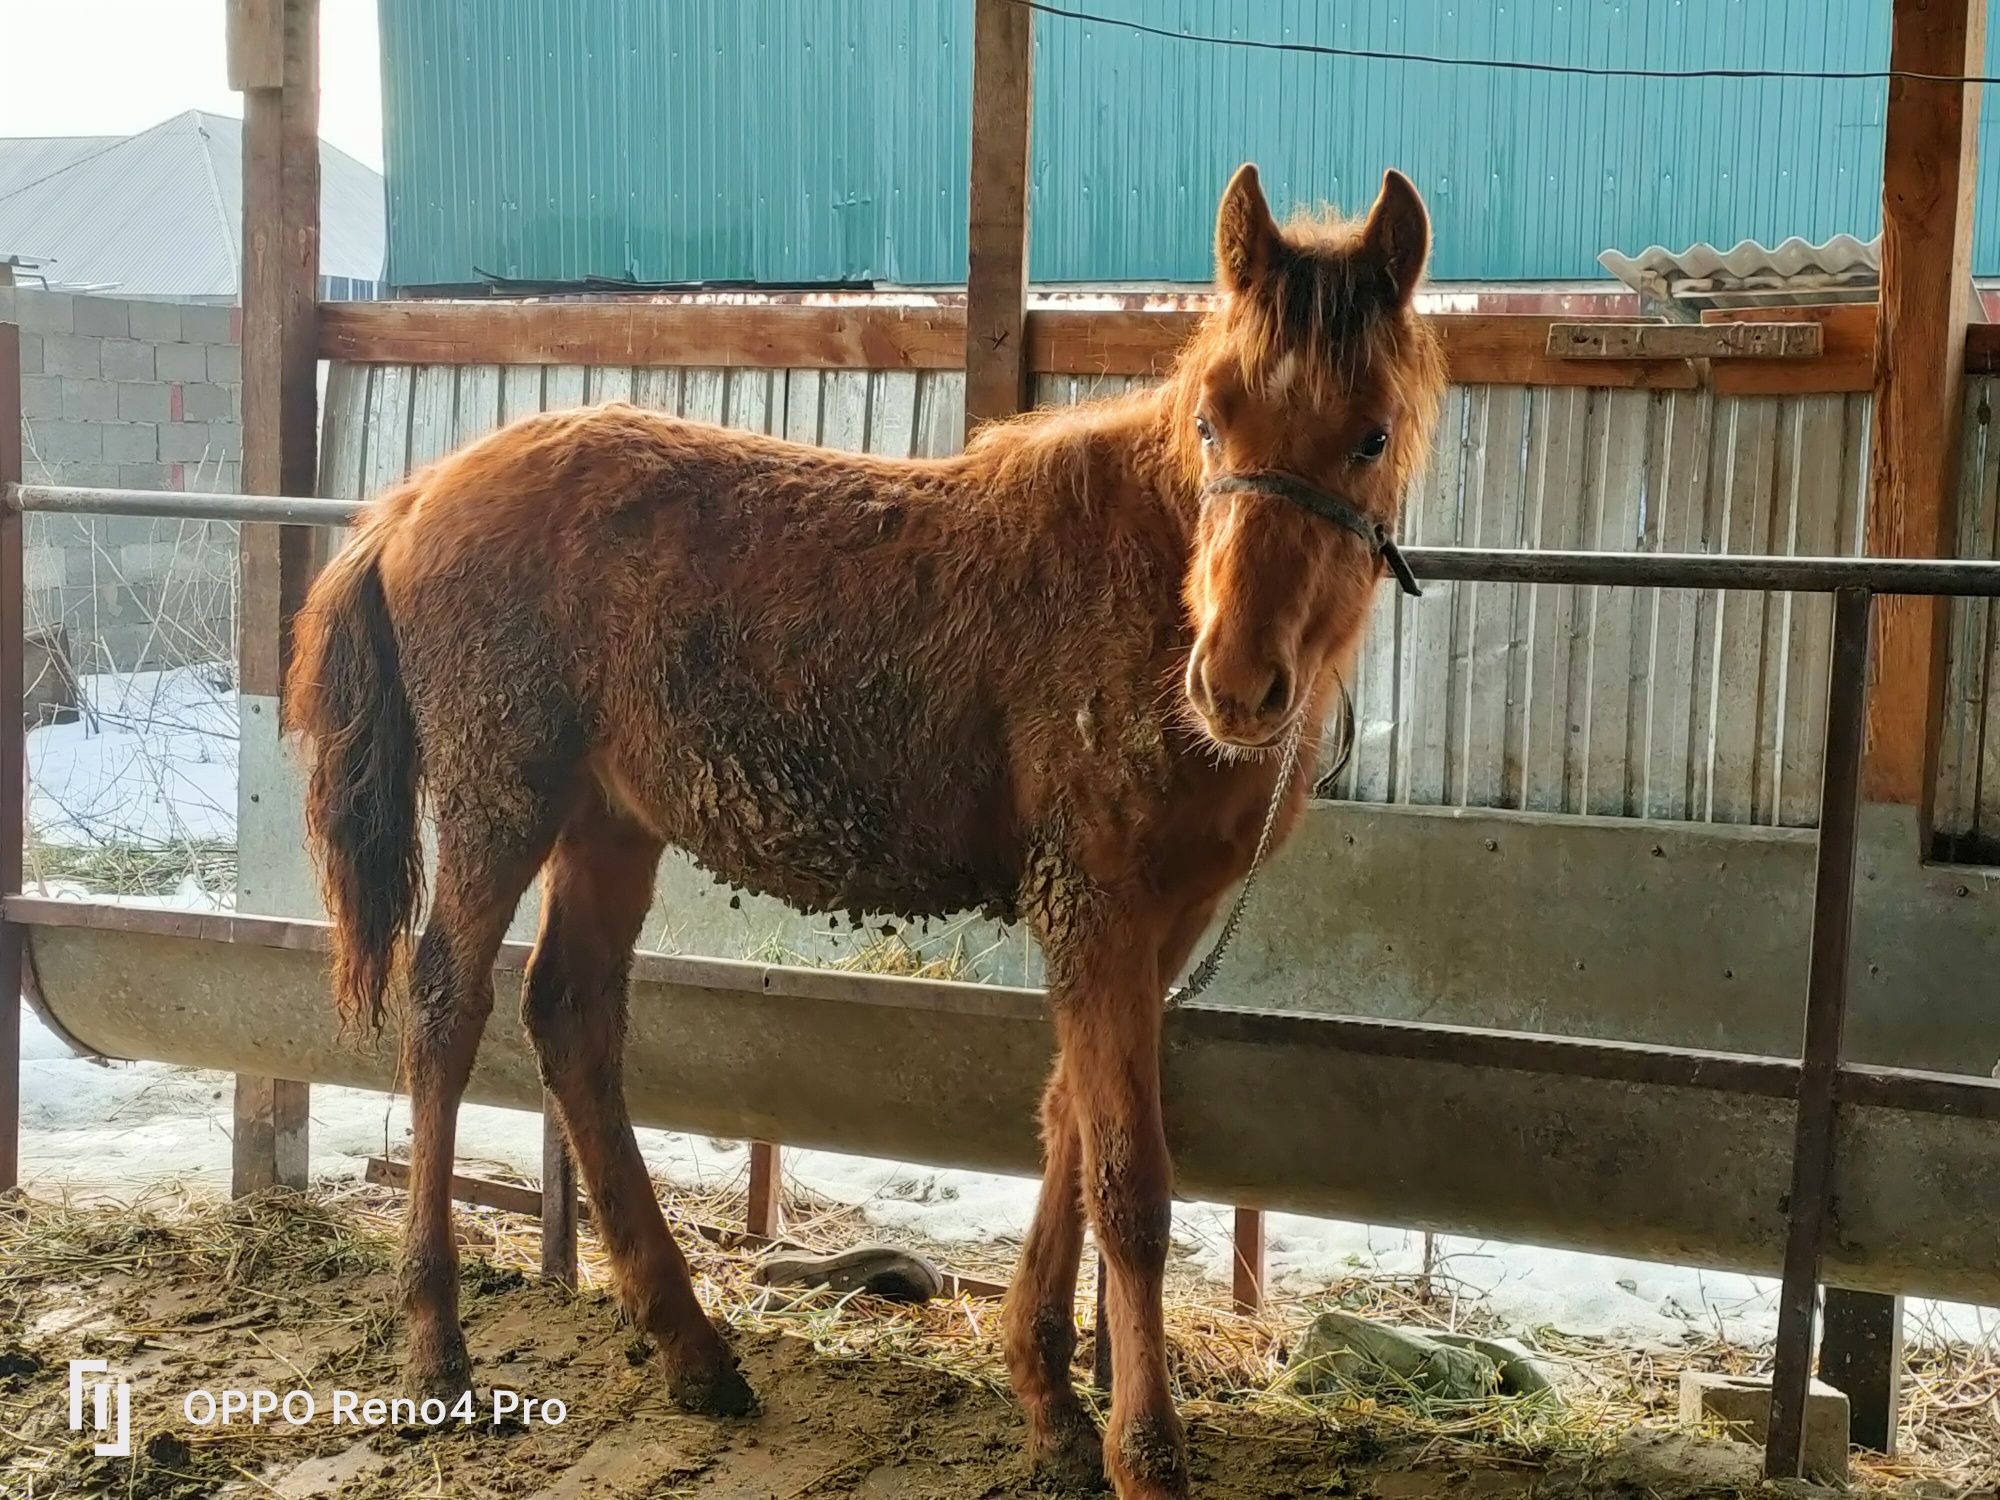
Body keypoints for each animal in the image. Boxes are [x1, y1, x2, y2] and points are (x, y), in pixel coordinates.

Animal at [290, 167, 1448, 1500]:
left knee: (571, 1019)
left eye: (1369, 435)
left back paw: (692, 1348)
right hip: (500, 798)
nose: (1235, 683)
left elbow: (1066, 1119)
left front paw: (1048, 1398)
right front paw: (1142, 1453)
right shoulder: (1095, 905)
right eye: (1210, 422)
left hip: (608, 823)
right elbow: (1128, 1180)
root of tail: (412, 498)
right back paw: (437, 1343)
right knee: (446, 1008)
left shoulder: (1151, 922)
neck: (1141, 580)